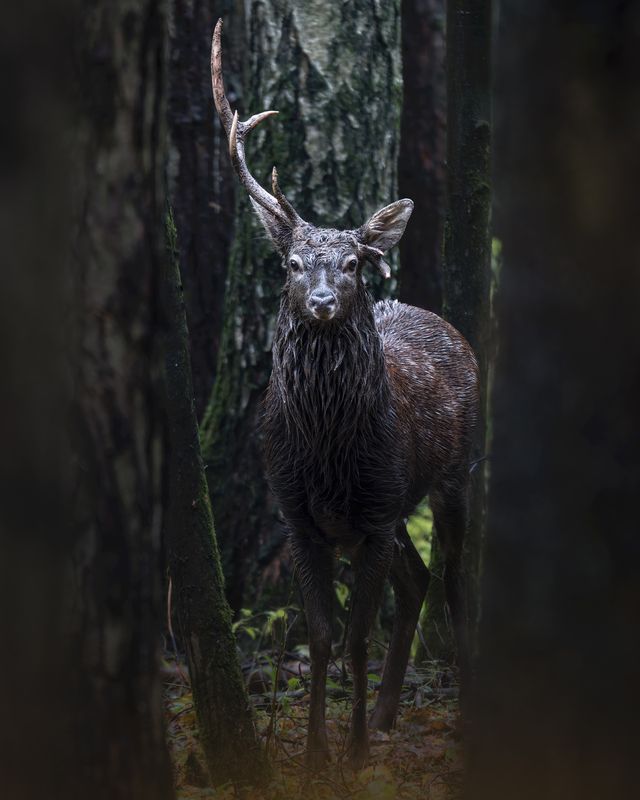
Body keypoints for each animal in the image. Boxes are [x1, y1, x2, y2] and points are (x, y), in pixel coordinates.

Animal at [211, 20, 479, 771]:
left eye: (355, 262)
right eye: (293, 263)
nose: (325, 301)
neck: (328, 449)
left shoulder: (378, 511)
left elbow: (357, 637)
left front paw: (354, 751)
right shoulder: (302, 518)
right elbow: (326, 638)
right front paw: (313, 752)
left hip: (451, 475)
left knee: (453, 580)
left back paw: (457, 710)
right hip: (393, 508)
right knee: (416, 581)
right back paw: (388, 712)